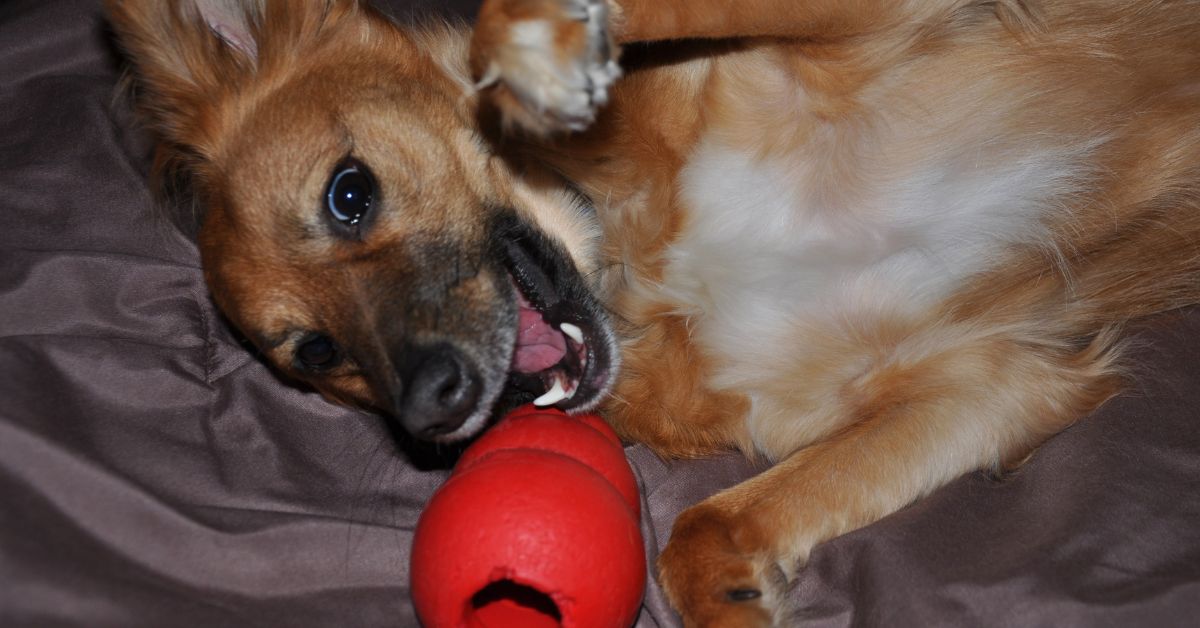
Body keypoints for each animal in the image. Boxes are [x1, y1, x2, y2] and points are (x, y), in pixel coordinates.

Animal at [108, 2, 1200, 624]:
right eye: (314, 351)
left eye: (348, 195)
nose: (433, 408)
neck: (644, 253)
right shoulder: (980, 383)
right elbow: (703, 532)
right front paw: (739, 600)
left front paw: (545, 45)